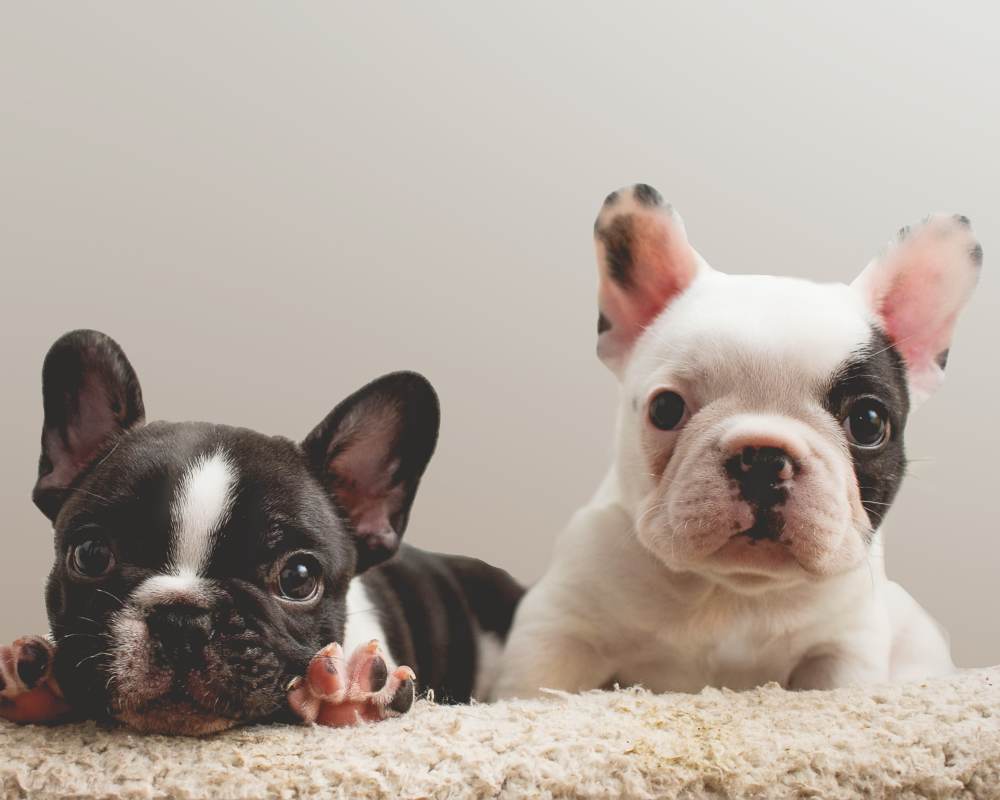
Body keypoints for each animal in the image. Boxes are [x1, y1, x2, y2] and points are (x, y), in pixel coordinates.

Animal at [496, 184, 980, 696]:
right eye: (665, 409)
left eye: (868, 422)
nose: (764, 457)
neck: (732, 588)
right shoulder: (559, 629)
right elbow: (536, 689)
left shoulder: (840, 649)